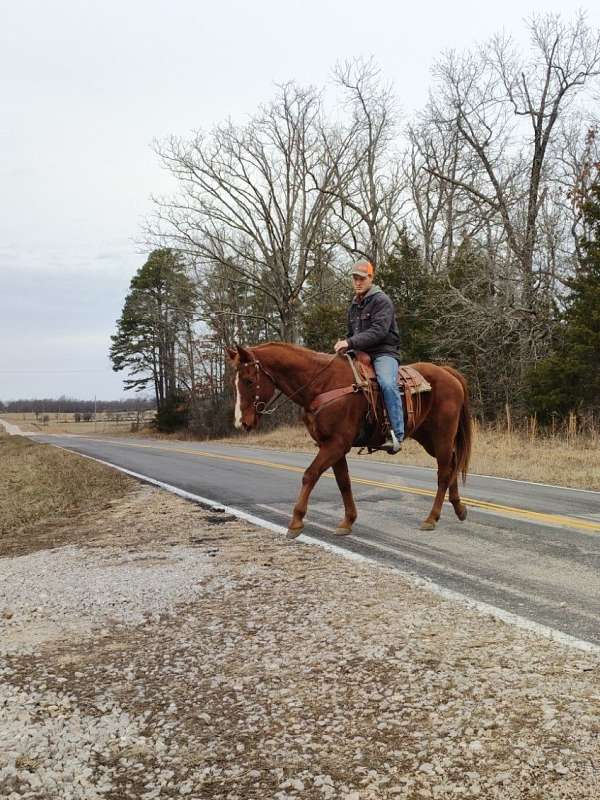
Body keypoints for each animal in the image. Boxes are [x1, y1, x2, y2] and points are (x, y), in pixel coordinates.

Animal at [226, 342, 474, 536]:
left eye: (249, 380)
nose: (241, 423)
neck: (322, 384)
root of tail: (448, 373)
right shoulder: (332, 446)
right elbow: (343, 482)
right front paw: (347, 521)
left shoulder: (335, 444)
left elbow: (310, 475)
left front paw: (296, 522)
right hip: (428, 438)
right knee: (452, 464)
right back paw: (459, 509)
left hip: (442, 436)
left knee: (443, 472)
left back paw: (431, 518)